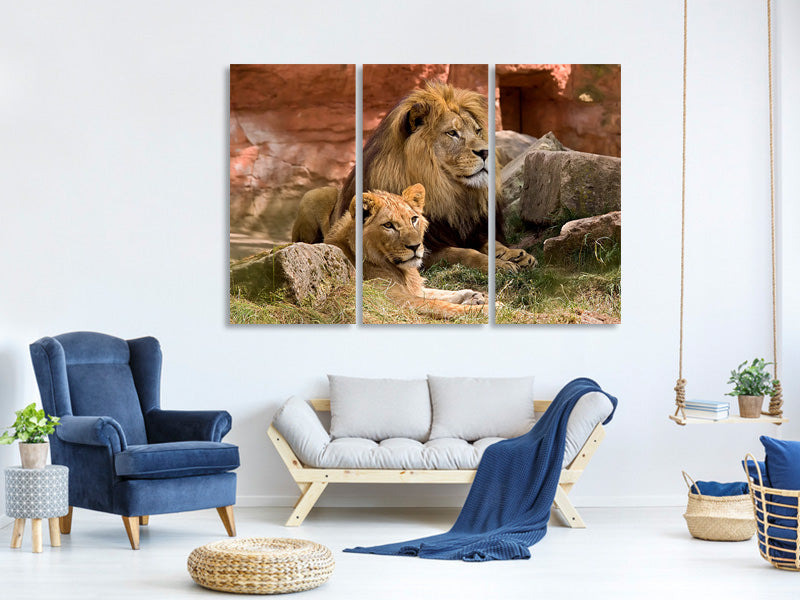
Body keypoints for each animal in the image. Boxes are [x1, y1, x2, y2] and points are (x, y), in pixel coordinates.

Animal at [324, 184, 489, 319]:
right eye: (388, 225)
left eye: (414, 219)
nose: (415, 246)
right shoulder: (389, 298)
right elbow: (438, 304)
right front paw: (487, 309)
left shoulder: (412, 289)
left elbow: (439, 293)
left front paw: (474, 296)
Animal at [332, 81, 536, 273]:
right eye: (452, 133)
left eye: (477, 131)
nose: (486, 151)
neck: (447, 192)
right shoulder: (423, 250)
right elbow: (464, 253)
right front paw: (499, 264)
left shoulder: (467, 231)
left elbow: (490, 243)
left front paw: (515, 254)